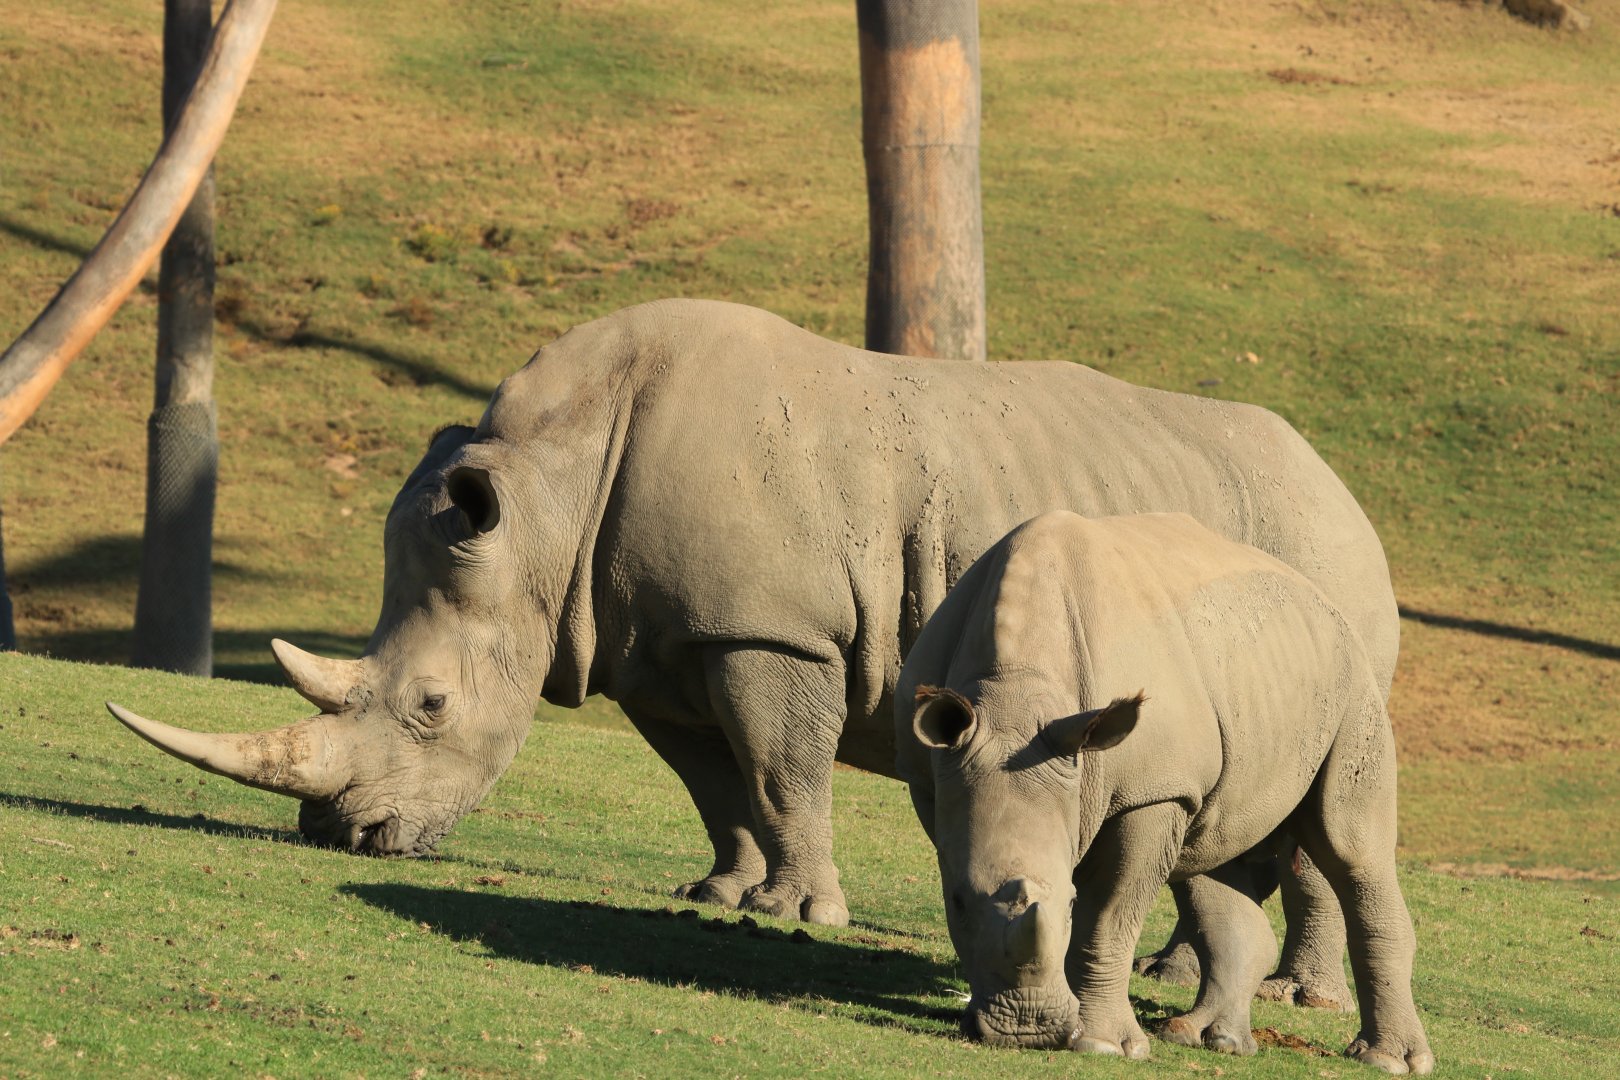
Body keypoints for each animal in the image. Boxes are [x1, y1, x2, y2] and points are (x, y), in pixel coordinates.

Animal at [108, 299, 1393, 981]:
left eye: (430, 707)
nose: (344, 835)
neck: (549, 495)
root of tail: (1350, 495)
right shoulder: (656, 643)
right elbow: (716, 781)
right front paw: (722, 893)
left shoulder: (773, 633)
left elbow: (782, 769)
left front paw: (798, 915)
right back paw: (1189, 976)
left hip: (1325, 573)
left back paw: (1293, 1001)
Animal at [896, 510, 1431, 1074]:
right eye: (955, 902)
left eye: (1069, 902)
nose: (1026, 1030)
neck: (1015, 694)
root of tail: (1322, 595)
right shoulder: (936, 776)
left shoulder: (1154, 791)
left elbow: (1109, 915)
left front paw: (1102, 1045)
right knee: (1210, 850)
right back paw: (1207, 1038)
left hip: (1354, 683)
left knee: (1350, 848)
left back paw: (1390, 1061)